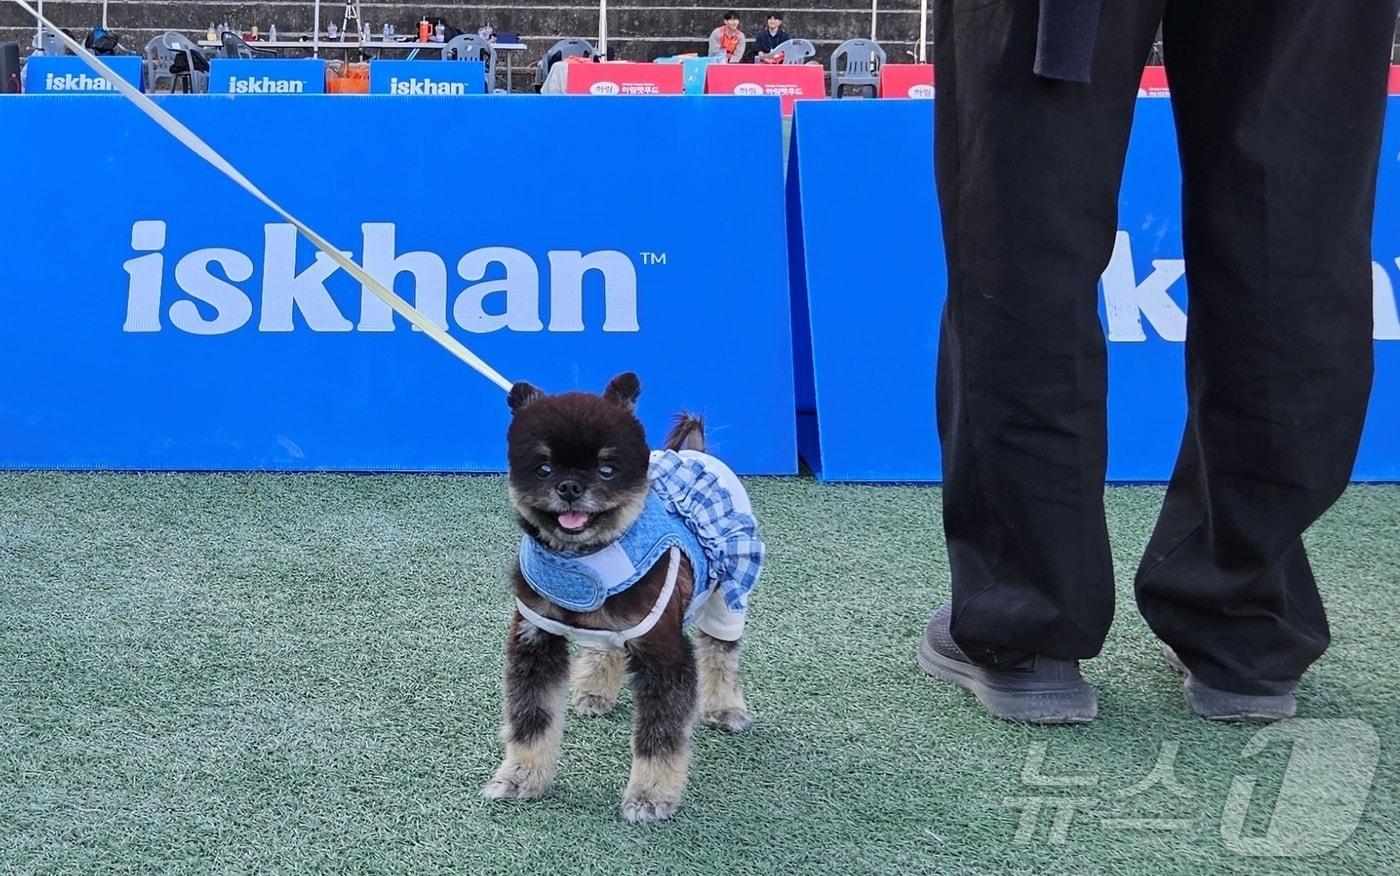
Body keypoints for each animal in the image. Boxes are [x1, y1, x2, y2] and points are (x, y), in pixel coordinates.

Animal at [481, 369, 767, 817]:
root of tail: (697, 453)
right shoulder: (535, 637)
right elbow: (531, 719)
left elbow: (659, 737)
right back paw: (595, 689)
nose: (569, 487)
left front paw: (651, 796)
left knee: (721, 654)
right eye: (543, 468)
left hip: (728, 594)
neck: (587, 562)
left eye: (607, 469)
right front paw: (521, 777)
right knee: (606, 646)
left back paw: (725, 707)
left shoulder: (664, 652)